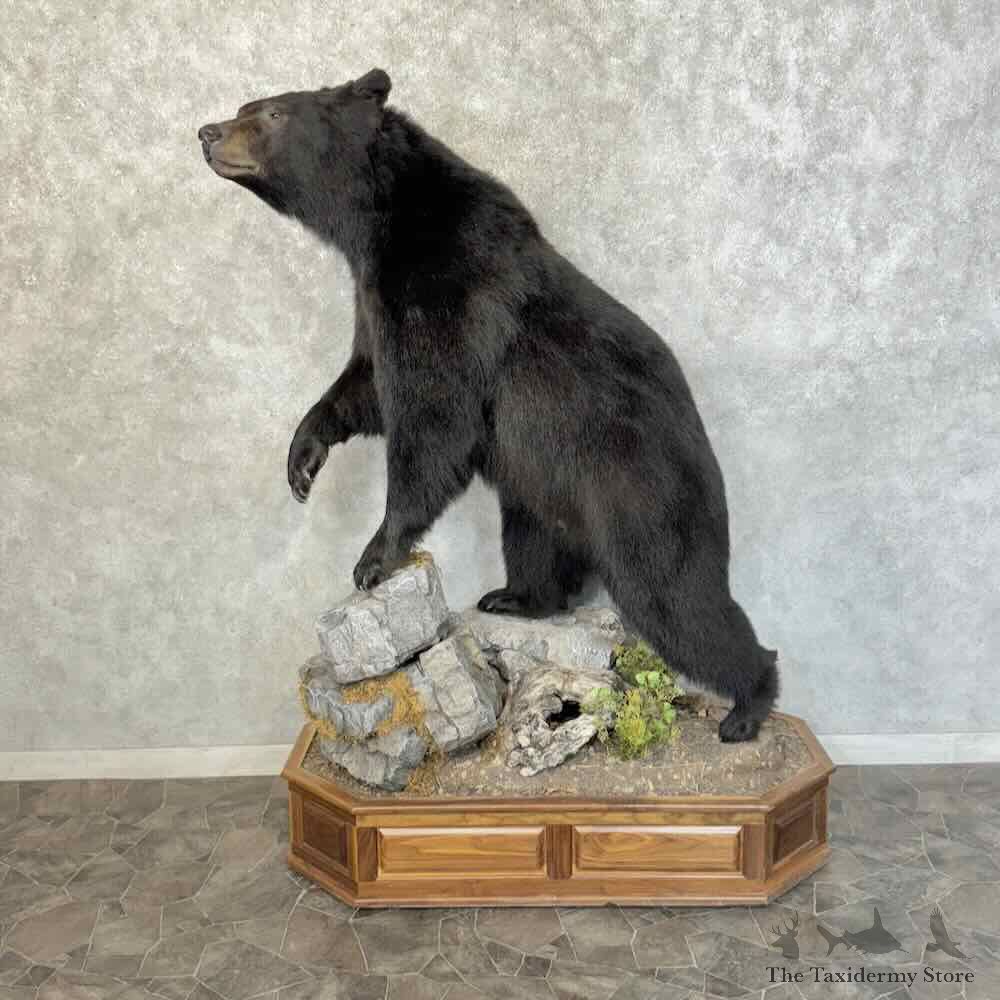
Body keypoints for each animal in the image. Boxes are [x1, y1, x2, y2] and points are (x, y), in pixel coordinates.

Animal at [198, 69, 779, 741]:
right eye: (248, 104)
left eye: (270, 112)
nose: (207, 131)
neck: (378, 224)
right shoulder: (375, 297)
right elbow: (365, 384)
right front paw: (303, 458)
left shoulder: (450, 292)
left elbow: (434, 419)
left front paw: (374, 556)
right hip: (542, 490)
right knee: (534, 544)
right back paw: (514, 597)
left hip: (644, 496)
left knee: (676, 600)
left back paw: (748, 705)